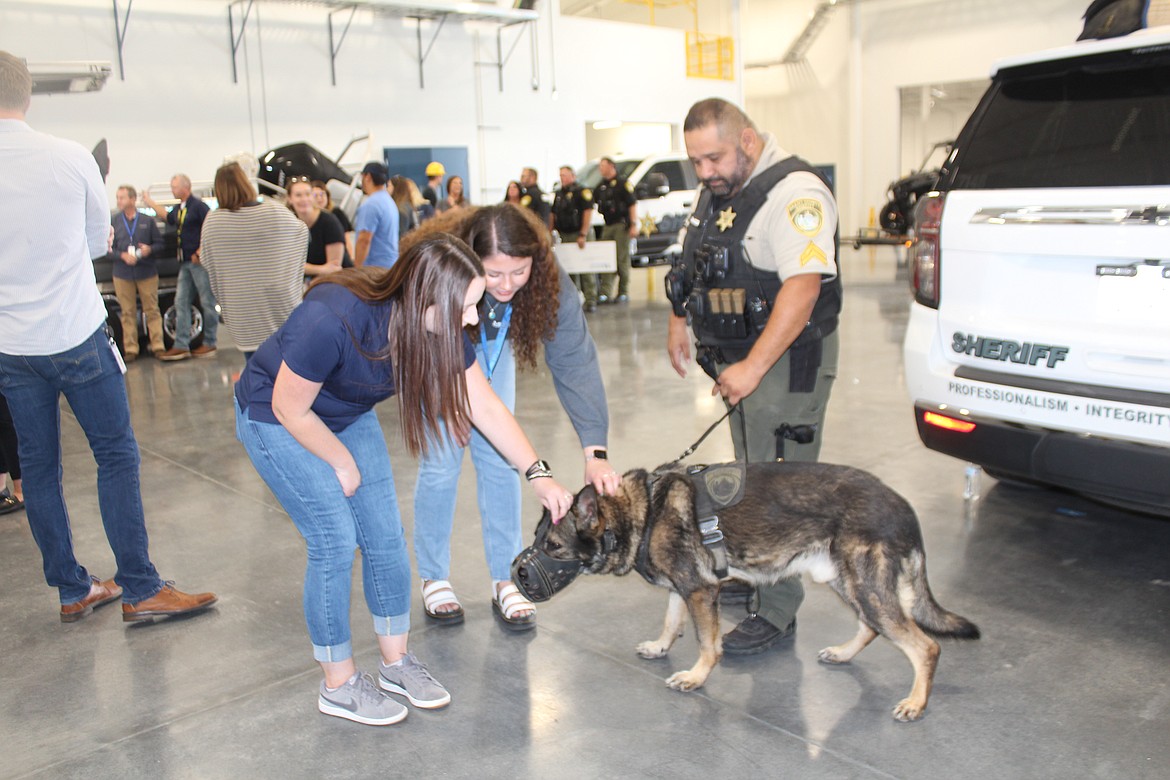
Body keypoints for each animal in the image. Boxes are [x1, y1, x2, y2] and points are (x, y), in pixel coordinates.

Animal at [517, 460, 982, 725]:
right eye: (537, 539)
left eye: (553, 546)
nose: (517, 573)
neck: (643, 512)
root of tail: (904, 508)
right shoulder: (684, 587)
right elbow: (670, 621)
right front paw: (662, 646)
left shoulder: (700, 591)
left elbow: (707, 642)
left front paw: (696, 677)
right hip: (845, 580)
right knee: (871, 626)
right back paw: (844, 653)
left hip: (864, 585)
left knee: (925, 646)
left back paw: (916, 702)